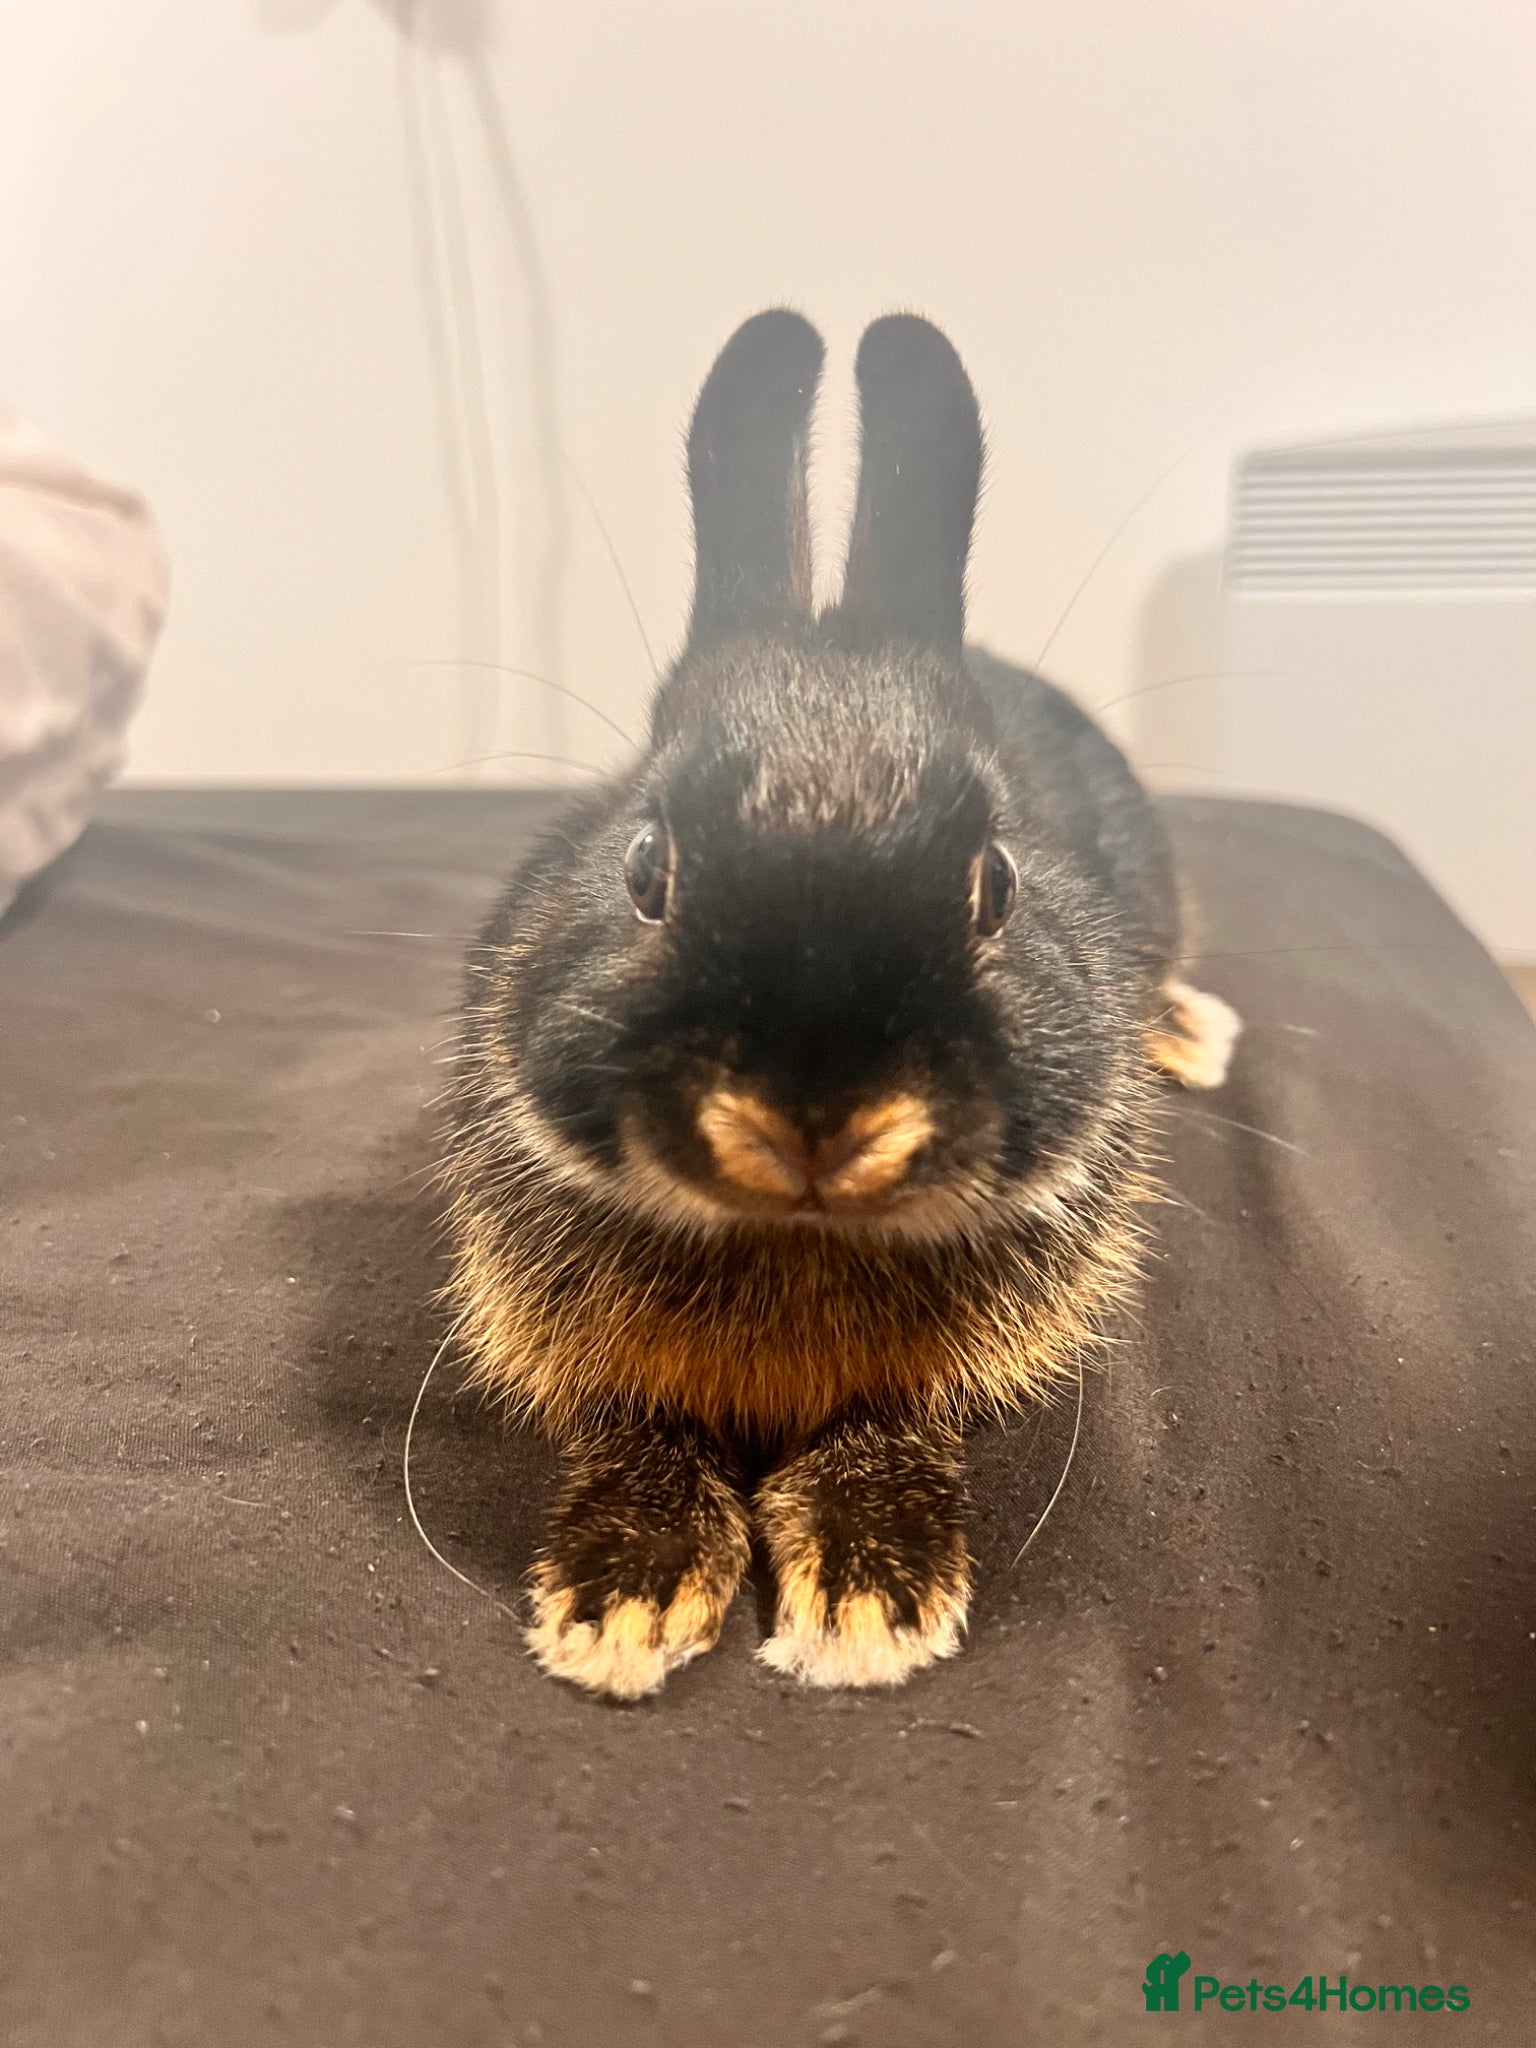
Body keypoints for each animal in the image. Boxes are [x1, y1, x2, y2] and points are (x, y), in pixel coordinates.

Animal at [442, 309, 1240, 1698]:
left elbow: (884, 1424)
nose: (815, 1119)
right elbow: (637, 1425)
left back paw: (1189, 1032)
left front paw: (872, 1599)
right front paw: (623, 1601)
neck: (795, 1232)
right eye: (645, 867)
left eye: (995, 883)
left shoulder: (928, 1373)